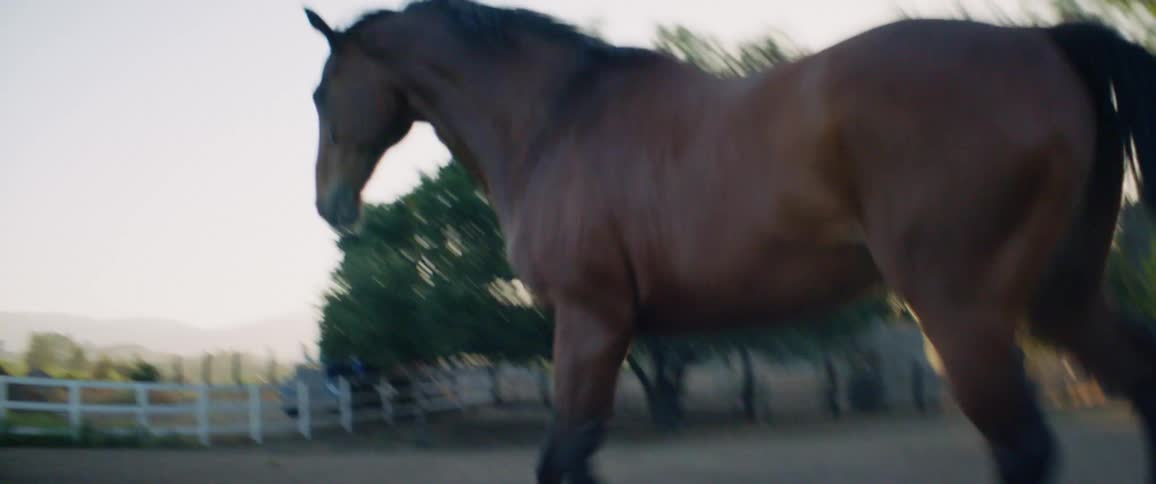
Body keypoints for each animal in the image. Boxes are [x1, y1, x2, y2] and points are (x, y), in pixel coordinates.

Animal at [303, 1, 1156, 482]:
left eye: (319, 91)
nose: (328, 205)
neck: (557, 119)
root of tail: (1046, 44)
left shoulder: (589, 322)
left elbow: (564, 458)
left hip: (960, 315)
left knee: (1022, 450)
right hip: (1061, 299)